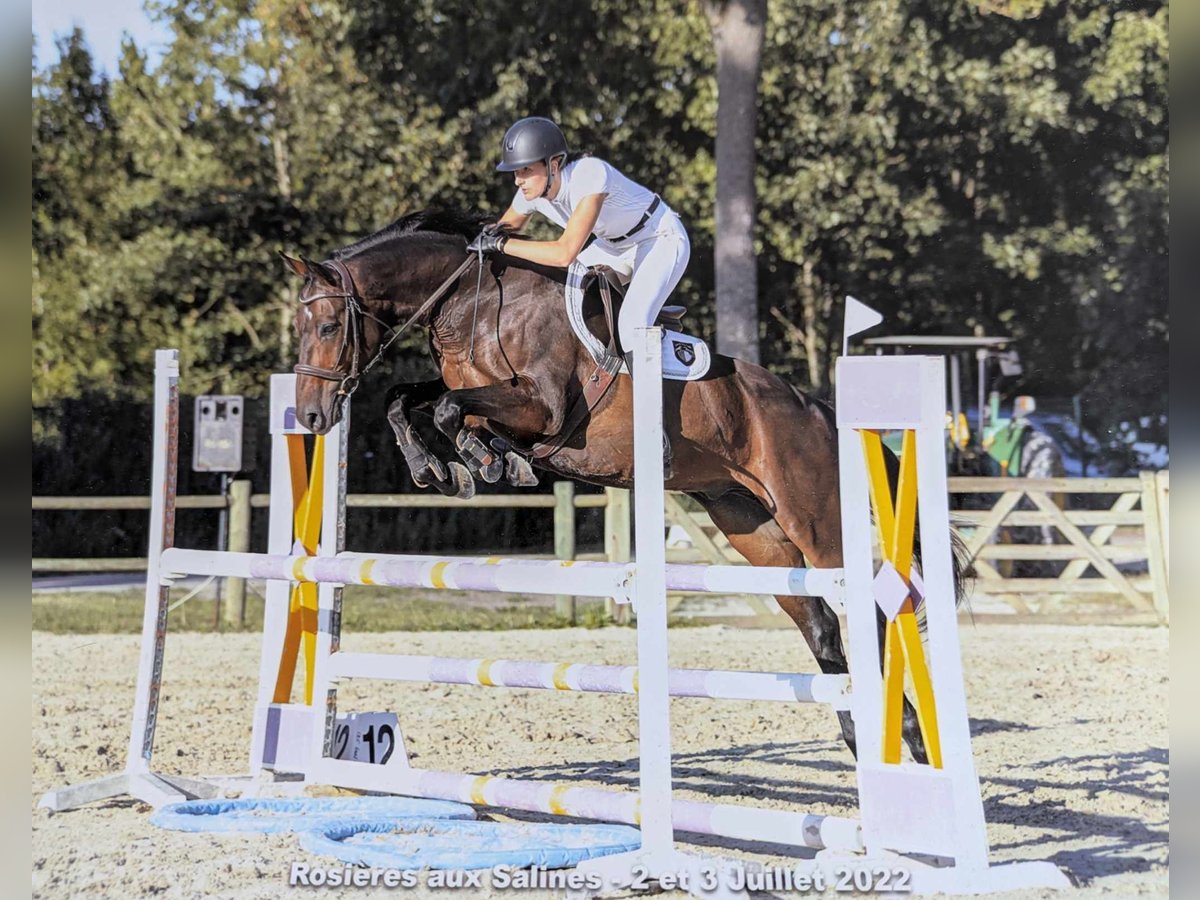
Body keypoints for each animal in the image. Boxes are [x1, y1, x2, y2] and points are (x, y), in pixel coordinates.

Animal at [280, 206, 955, 763]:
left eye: (326, 327)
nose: (311, 417)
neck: (472, 306)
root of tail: (819, 411)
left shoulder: (542, 407)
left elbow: (453, 410)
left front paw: (487, 462)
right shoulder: (478, 395)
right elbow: (408, 399)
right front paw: (442, 468)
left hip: (817, 525)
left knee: (869, 610)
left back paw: (909, 738)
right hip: (754, 531)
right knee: (819, 623)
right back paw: (865, 737)